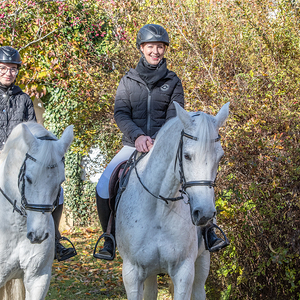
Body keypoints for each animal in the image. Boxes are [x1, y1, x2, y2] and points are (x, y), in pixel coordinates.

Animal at [116, 102, 229, 298]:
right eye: (187, 156)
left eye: (220, 157)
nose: (204, 213)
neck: (159, 210)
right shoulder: (132, 273)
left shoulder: (184, 271)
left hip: (202, 260)